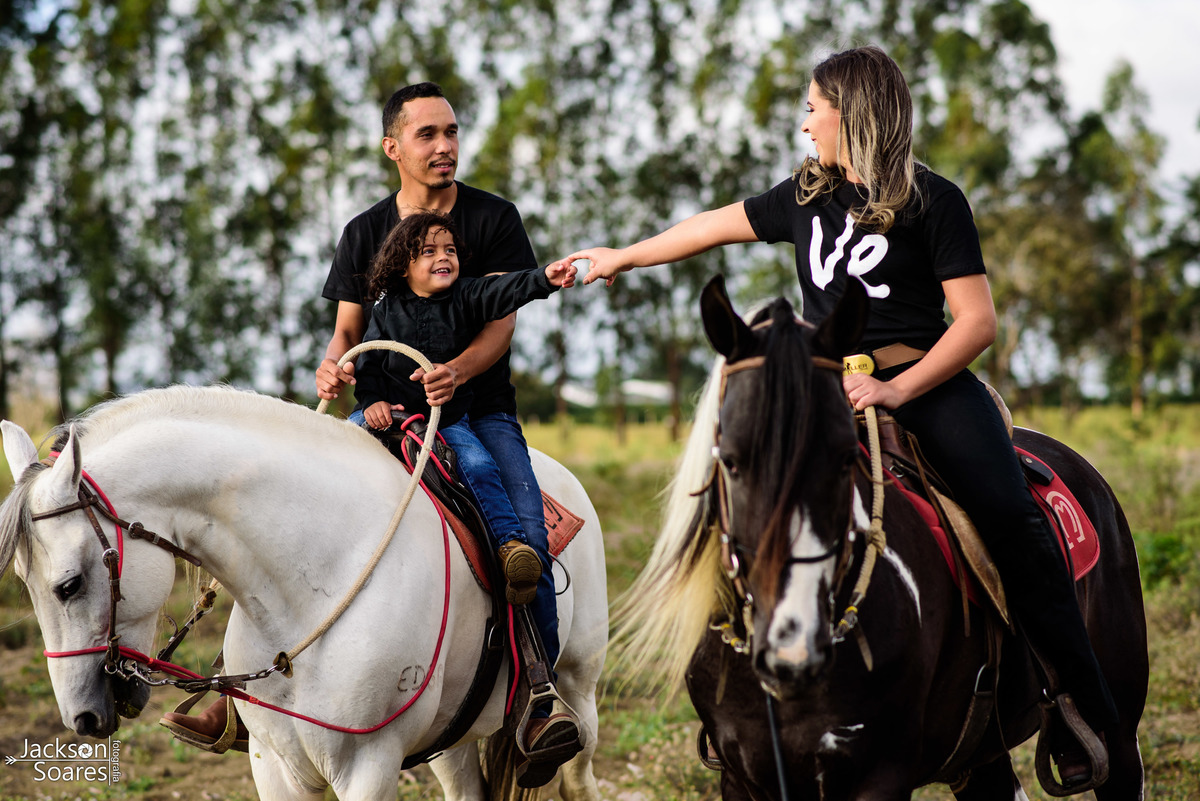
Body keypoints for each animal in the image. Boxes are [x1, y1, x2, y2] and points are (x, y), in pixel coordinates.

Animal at [0, 385, 608, 801]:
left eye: (70, 585)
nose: (82, 720)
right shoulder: (276, 766)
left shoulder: (369, 767)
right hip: (453, 737)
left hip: (579, 689)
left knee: (577, 773)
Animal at [613, 277, 1147, 800]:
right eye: (730, 461)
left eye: (845, 457)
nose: (793, 649)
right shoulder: (741, 777)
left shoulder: (880, 774)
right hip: (979, 758)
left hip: (1119, 734)